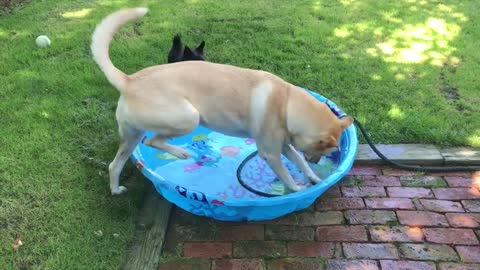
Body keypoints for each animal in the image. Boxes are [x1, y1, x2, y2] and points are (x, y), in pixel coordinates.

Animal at [91, 7, 352, 194]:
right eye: (326, 148)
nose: (318, 161)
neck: (288, 104)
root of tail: (129, 80)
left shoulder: (286, 146)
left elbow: (299, 161)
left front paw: (314, 177)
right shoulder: (270, 153)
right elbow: (287, 176)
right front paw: (297, 189)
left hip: (132, 136)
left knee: (116, 164)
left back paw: (115, 189)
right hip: (188, 117)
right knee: (154, 140)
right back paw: (181, 153)